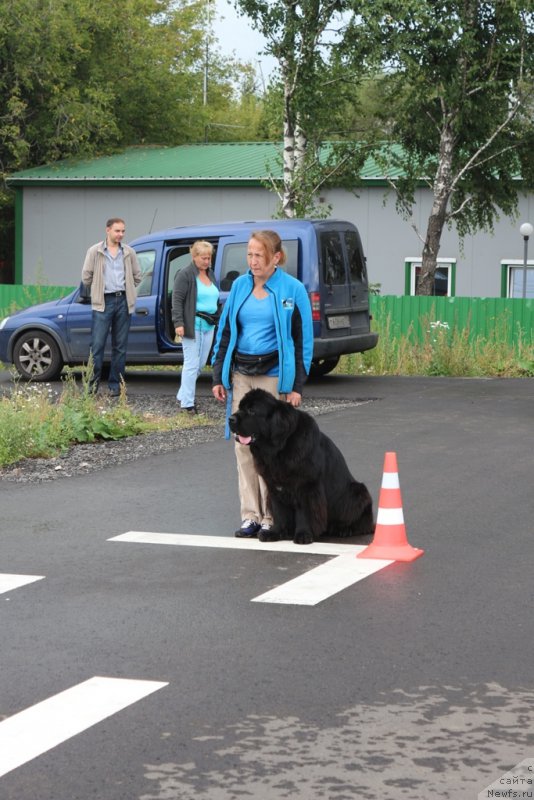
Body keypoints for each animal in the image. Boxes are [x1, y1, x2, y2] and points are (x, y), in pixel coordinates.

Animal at [230, 388, 376, 544]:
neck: (280, 447)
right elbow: (279, 512)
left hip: (358, 492)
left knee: (362, 523)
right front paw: (275, 533)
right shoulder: (274, 486)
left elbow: (304, 512)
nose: (230, 419)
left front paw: (303, 535)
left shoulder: (306, 486)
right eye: (239, 408)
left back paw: (344, 529)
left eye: (252, 411)